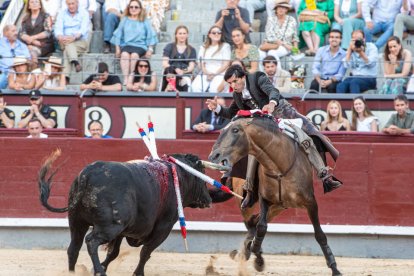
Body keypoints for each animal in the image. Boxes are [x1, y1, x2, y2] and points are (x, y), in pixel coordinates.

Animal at [38, 151, 212, 276]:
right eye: (202, 176)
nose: (209, 199)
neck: (177, 176)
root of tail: (88, 173)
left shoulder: (122, 232)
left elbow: (114, 253)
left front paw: (101, 266)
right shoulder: (164, 227)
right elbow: (146, 252)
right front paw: (137, 273)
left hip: (77, 221)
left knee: (74, 248)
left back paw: (73, 272)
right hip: (109, 227)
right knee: (91, 242)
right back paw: (100, 273)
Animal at [209, 113, 342, 276]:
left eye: (235, 130)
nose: (214, 156)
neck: (278, 166)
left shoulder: (310, 203)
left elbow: (320, 235)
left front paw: (335, 268)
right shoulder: (264, 199)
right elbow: (261, 227)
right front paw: (256, 255)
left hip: (280, 206)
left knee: (253, 223)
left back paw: (245, 252)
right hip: (252, 203)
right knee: (252, 223)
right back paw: (249, 253)